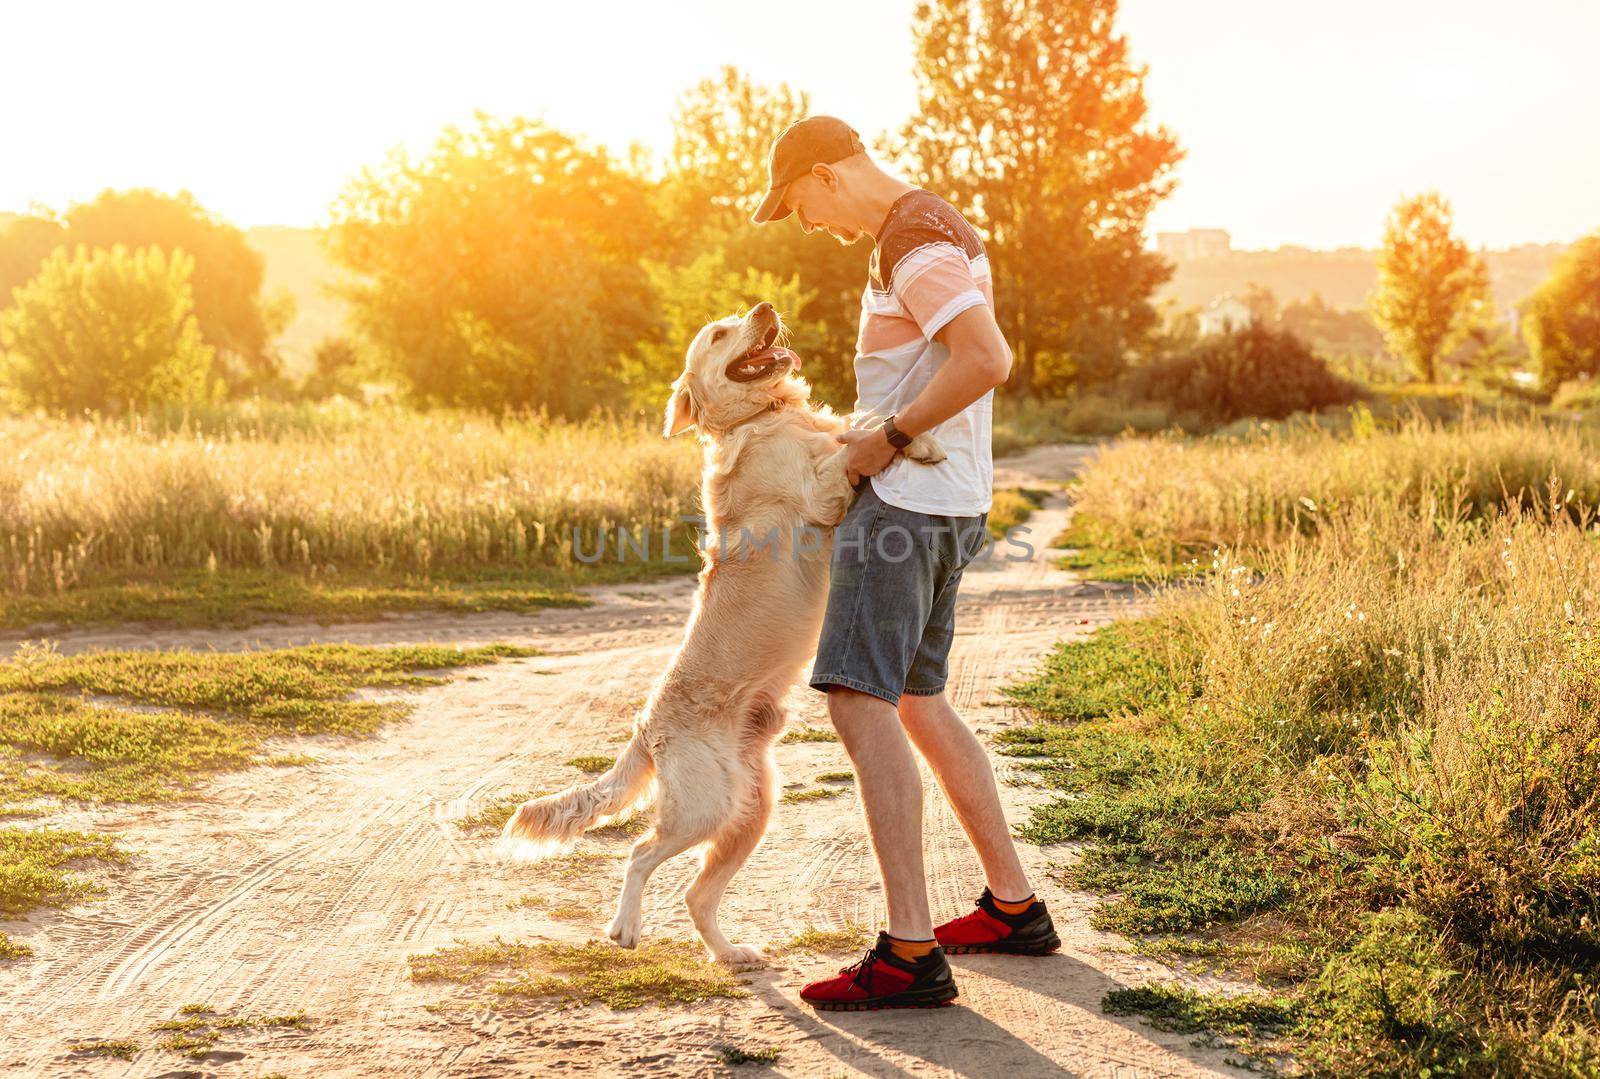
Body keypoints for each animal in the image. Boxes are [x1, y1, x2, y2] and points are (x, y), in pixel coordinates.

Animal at [505, 297, 940, 960]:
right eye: (718, 333)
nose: (765, 304)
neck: (766, 416)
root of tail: (646, 725)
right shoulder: (821, 495)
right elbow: (849, 450)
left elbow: (862, 422)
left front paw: (923, 440)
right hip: (703, 808)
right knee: (640, 853)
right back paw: (624, 927)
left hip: (751, 809)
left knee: (696, 895)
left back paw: (731, 954)